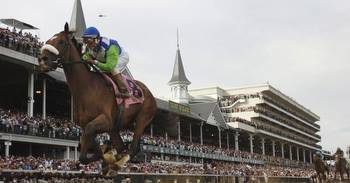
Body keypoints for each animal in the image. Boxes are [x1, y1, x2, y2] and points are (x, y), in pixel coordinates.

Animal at [37, 22, 157, 166]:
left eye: (61, 41)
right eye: (48, 41)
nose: (42, 60)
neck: (87, 88)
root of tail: (149, 92)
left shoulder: (106, 120)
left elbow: (89, 135)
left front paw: (104, 155)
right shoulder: (87, 124)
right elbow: (85, 146)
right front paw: (103, 154)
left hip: (142, 118)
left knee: (133, 147)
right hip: (115, 129)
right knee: (121, 146)